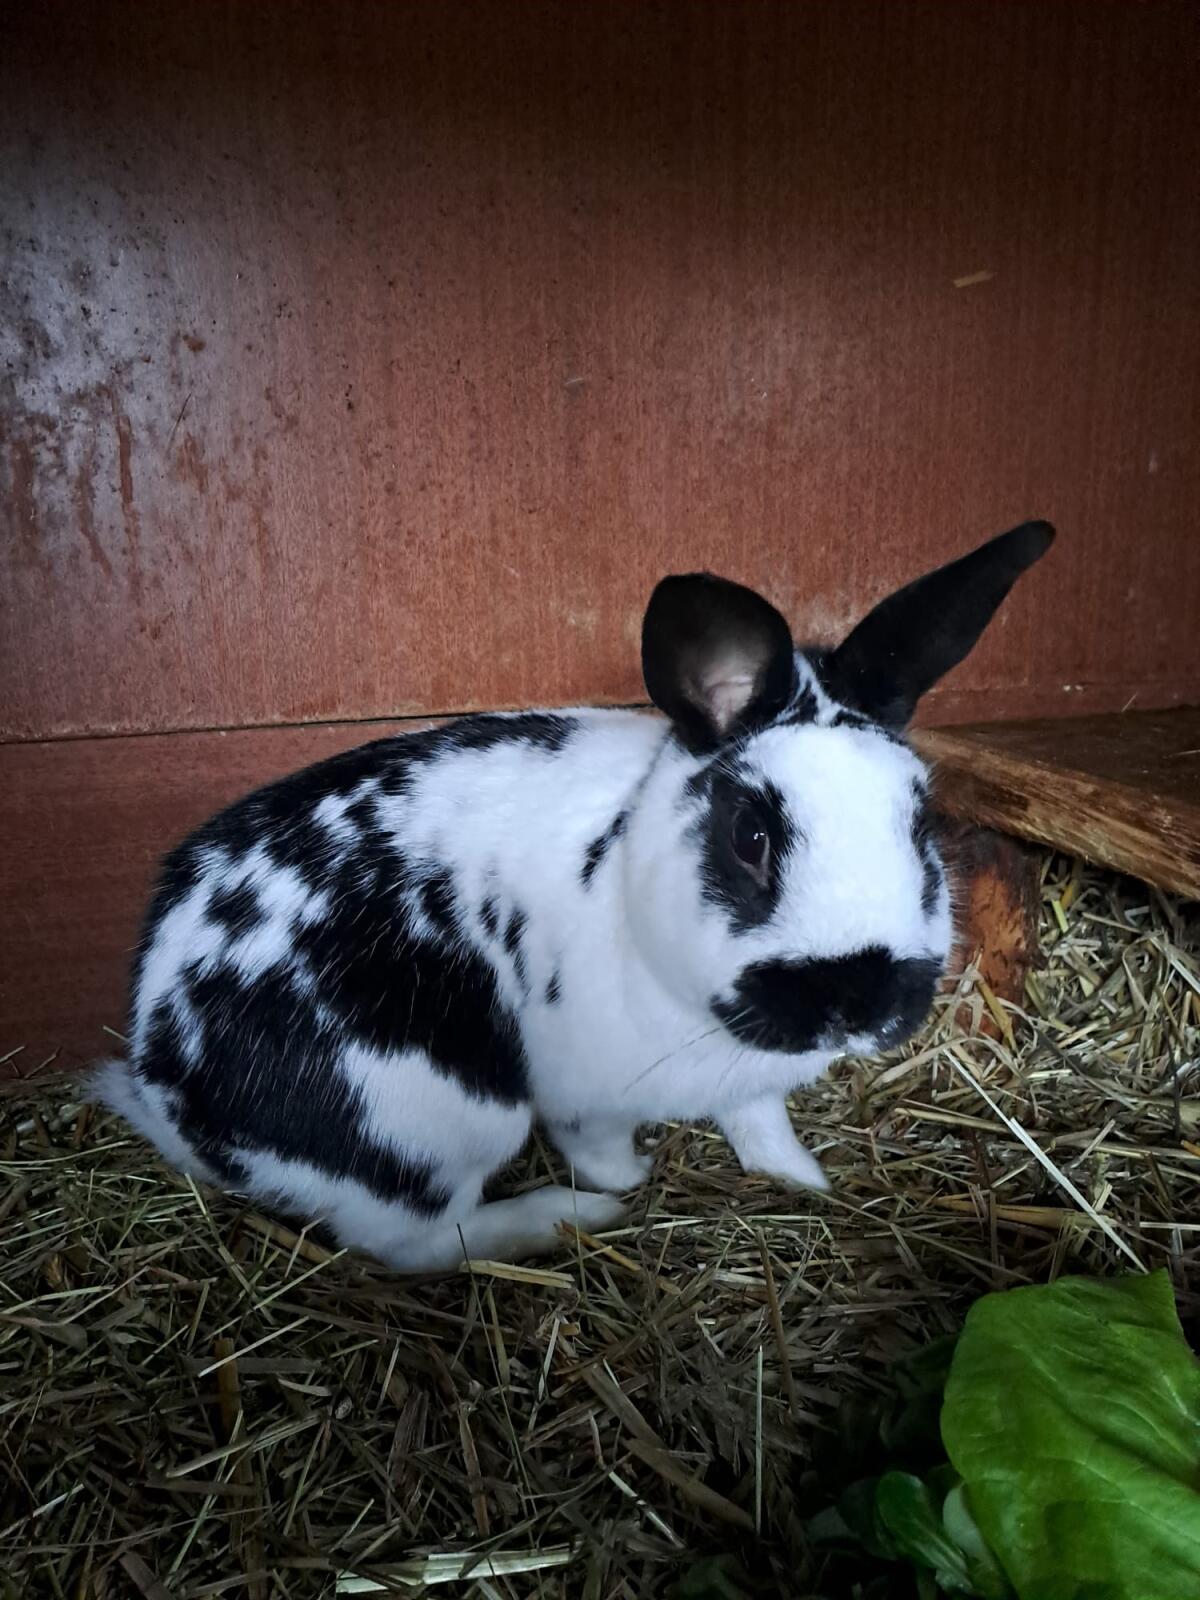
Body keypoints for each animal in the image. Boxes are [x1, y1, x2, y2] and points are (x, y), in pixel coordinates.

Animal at [94, 519, 1054, 1271]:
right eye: (750, 837)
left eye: (921, 821)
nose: (857, 1002)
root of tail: (170, 1096)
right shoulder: (582, 1098)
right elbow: (599, 1144)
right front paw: (627, 1183)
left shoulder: (749, 1084)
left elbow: (760, 1123)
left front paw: (800, 1180)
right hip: (440, 1123)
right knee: (415, 1245)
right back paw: (565, 1218)